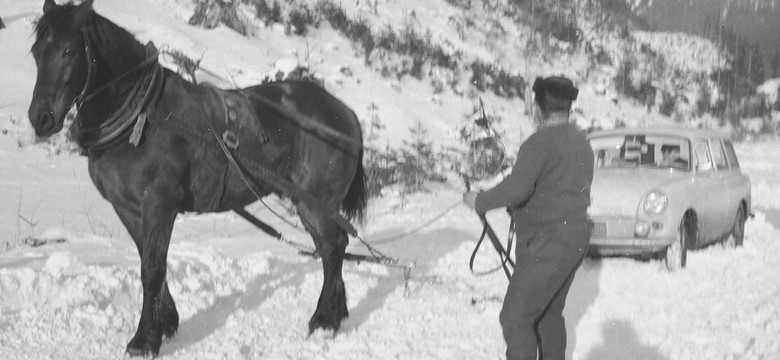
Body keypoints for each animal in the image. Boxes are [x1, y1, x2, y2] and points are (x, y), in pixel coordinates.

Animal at [29, 0, 368, 356]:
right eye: (37, 51)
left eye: (69, 50)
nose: (41, 118)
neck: (142, 116)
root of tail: (346, 113)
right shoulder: (128, 208)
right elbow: (149, 261)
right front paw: (167, 322)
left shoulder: (159, 205)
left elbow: (152, 270)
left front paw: (144, 339)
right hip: (311, 204)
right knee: (332, 248)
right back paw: (336, 312)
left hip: (313, 203)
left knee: (333, 249)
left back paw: (324, 320)